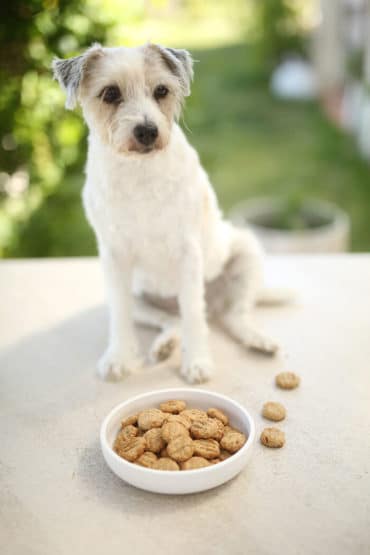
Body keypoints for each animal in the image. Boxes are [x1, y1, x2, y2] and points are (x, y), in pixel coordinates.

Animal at [52, 43, 284, 384]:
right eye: (110, 93)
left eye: (161, 90)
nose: (148, 131)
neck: (140, 172)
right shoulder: (114, 258)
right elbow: (120, 317)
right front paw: (119, 357)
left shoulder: (188, 252)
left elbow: (193, 316)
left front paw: (197, 361)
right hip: (137, 296)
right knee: (171, 321)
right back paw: (165, 345)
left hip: (246, 253)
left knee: (231, 316)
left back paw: (257, 339)